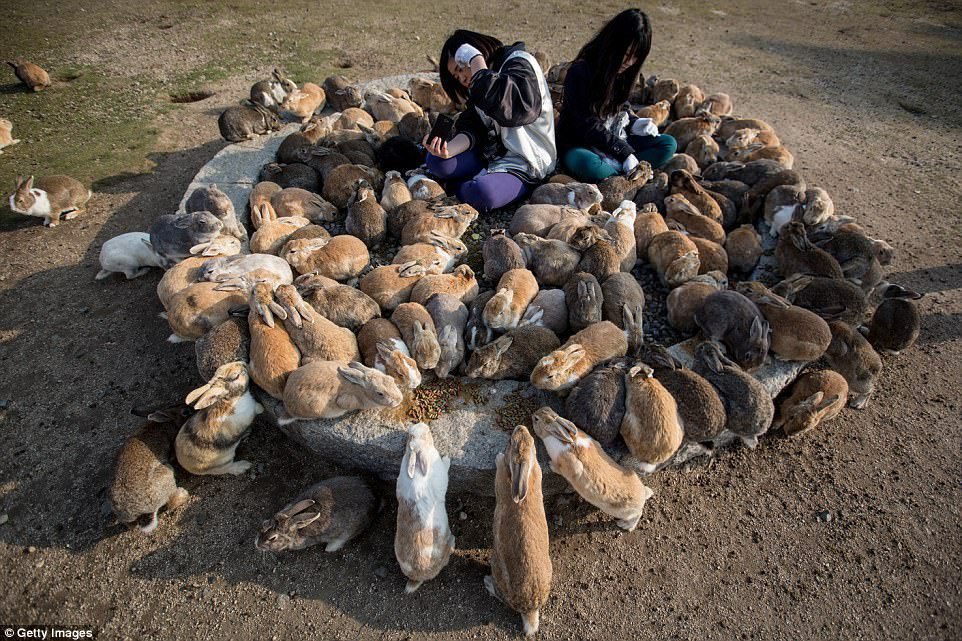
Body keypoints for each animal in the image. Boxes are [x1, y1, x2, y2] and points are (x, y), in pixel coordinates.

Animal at [110, 404, 191, 536]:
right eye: (185, 412)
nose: (192, 409)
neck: (168, 422)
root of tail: (138, 511)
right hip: (166, 473)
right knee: (171, 503)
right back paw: (183, 494)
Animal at [484, 424, 552, 636]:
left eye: (509, 442)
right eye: (531, 441)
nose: (520, 427)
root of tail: (529, 609)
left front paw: (498, 457)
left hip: (496, 565)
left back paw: (487, 582)